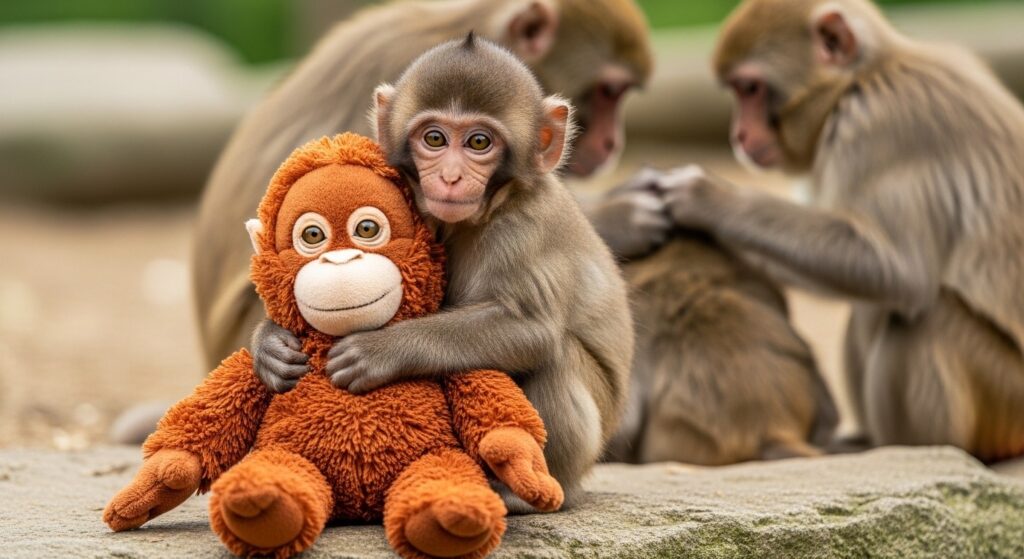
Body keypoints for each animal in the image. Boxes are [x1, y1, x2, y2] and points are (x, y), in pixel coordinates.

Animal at [254, 36, 634, 509]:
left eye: (479, 142)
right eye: (434, 138)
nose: (451, 177)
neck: (489, 209)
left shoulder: (524, 230)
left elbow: (532, 328)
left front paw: (379, 350)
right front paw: (269, 343)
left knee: (555, 358)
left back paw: (521, 491)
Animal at [657, 0, 1024, 462]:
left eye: (750, 88)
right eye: (739, 91)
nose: (738, 134)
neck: (864, 77)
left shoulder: (878, 126)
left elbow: (898, 270)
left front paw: (708, 199)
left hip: (1005, 398)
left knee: (924, 315)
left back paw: (910, 447)